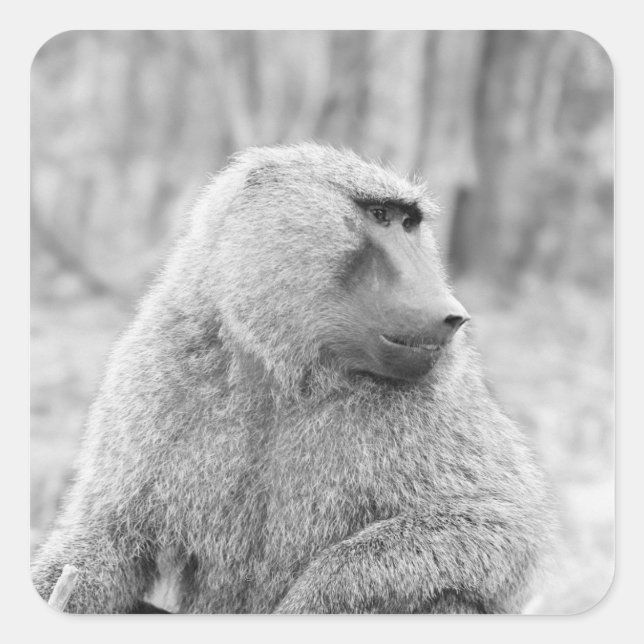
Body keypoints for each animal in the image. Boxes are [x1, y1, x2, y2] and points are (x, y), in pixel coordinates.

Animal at [32, 143, 555, 614]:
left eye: (410, 223)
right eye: (379, 214)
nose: (453, 315)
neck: (283, 373)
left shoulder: (437, 398)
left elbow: (502, 528)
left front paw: (309, 602)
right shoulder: (153, 367)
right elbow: (111, 535)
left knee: (446, 595)